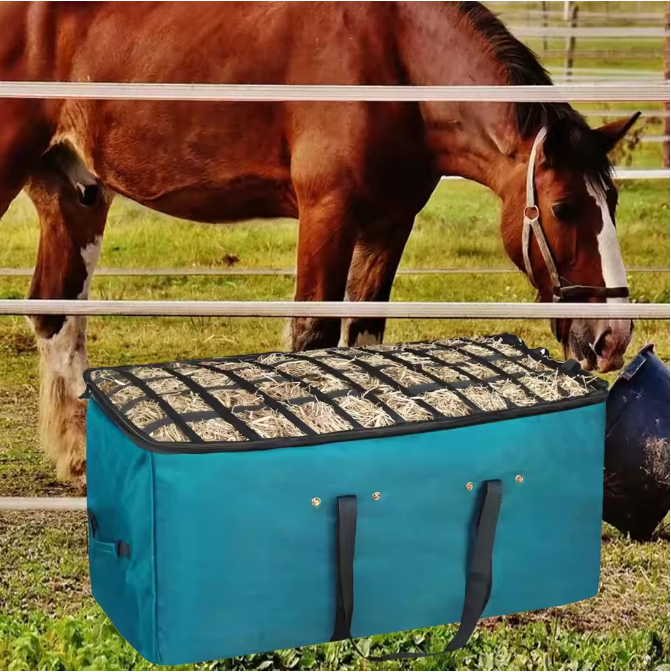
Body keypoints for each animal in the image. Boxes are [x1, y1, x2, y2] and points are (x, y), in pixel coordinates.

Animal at [0, 1, 638, 487]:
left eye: (613, 202)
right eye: (564, 208)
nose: (612, 337)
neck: (397, 65)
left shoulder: (388, 225)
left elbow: (363, 340)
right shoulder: (327, 215)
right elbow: (313, 340)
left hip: (76, 193)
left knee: (57, 312)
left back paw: (81, 457)